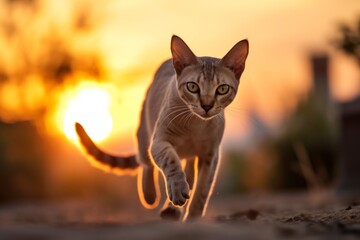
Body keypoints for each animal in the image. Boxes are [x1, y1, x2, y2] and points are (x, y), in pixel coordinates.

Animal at [75, 35, 250, 221]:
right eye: (192, 86)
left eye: (222, 89)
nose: (207, 106)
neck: (196, 126)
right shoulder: (160, 140)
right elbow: (170, 160)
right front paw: (177, 188)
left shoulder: (210, 155)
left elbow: (202, 191)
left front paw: (193, 217)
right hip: (145, 133)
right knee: (146, 162)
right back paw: (150, 195)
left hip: (191, 155)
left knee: (189, 175)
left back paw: (172, 210)